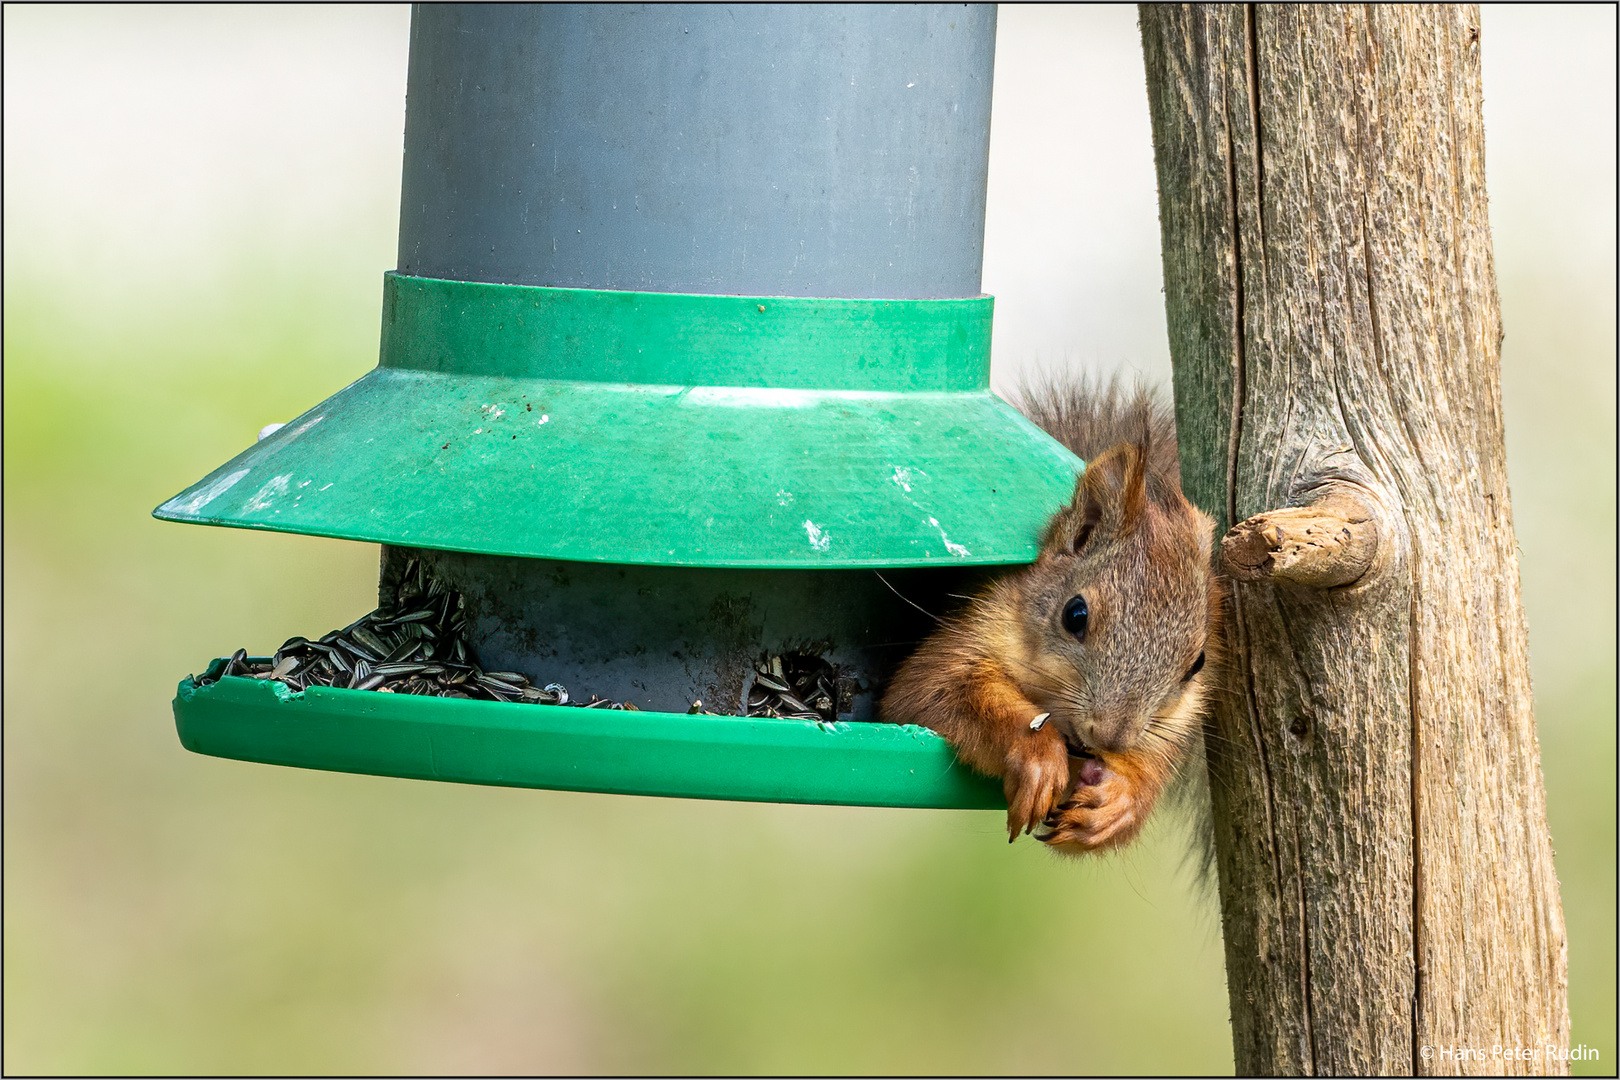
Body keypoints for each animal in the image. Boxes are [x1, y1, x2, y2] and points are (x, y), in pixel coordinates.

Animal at [881, 380, 1218, 854]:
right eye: (1075, 614)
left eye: (1198, 663)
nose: (1110, 737)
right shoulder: (969, 632)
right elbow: (934, 691)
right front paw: (1036, 756)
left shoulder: (1176, 722)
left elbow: (1149, 771)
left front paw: (1119, 802)